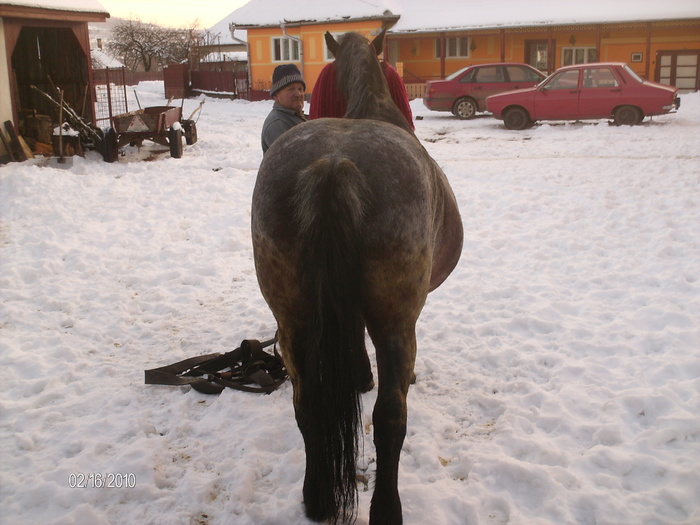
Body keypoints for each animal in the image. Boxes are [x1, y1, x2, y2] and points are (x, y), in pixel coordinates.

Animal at [252, 30, 464, 520]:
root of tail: (334, 165)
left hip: (292, 321)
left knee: (307, 403)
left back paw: (316, 496)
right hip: (396, 325)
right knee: (390, 417)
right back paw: (387, 508)